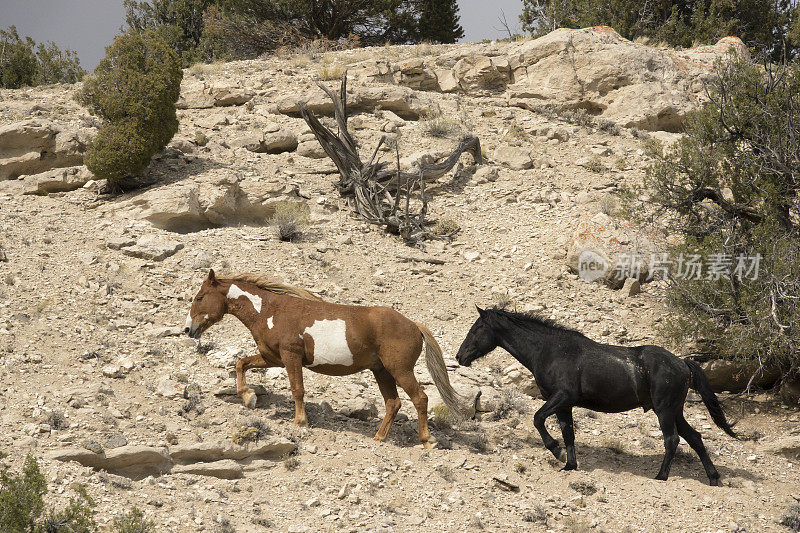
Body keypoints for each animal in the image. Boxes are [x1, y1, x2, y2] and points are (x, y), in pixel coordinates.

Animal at [186, 268, 476, 446]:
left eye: (200, 297)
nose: (189, 329)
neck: (271, 311)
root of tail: (414, 325)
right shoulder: (272, 358)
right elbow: (241, 363)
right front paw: (248, 397)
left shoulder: (290, 357)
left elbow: (297, 389)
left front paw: (300, 422)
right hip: (382, 371)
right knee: (393, 403)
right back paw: (378, 437)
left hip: (399, 370)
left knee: (420, 398)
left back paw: (427, 440)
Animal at [456, 306, 736, 484]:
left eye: (477, 328)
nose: (460, 356)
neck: (550, 350)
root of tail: (682, 363)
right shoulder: (563, 405)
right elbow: (568, 433)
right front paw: (568, 463)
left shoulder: (562, 397)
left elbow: (538, 419)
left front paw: (555, 450)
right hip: (675, 410)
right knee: (695, 438)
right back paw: (713, 478)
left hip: (665, 410)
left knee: (672, 440)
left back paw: (661, 476)